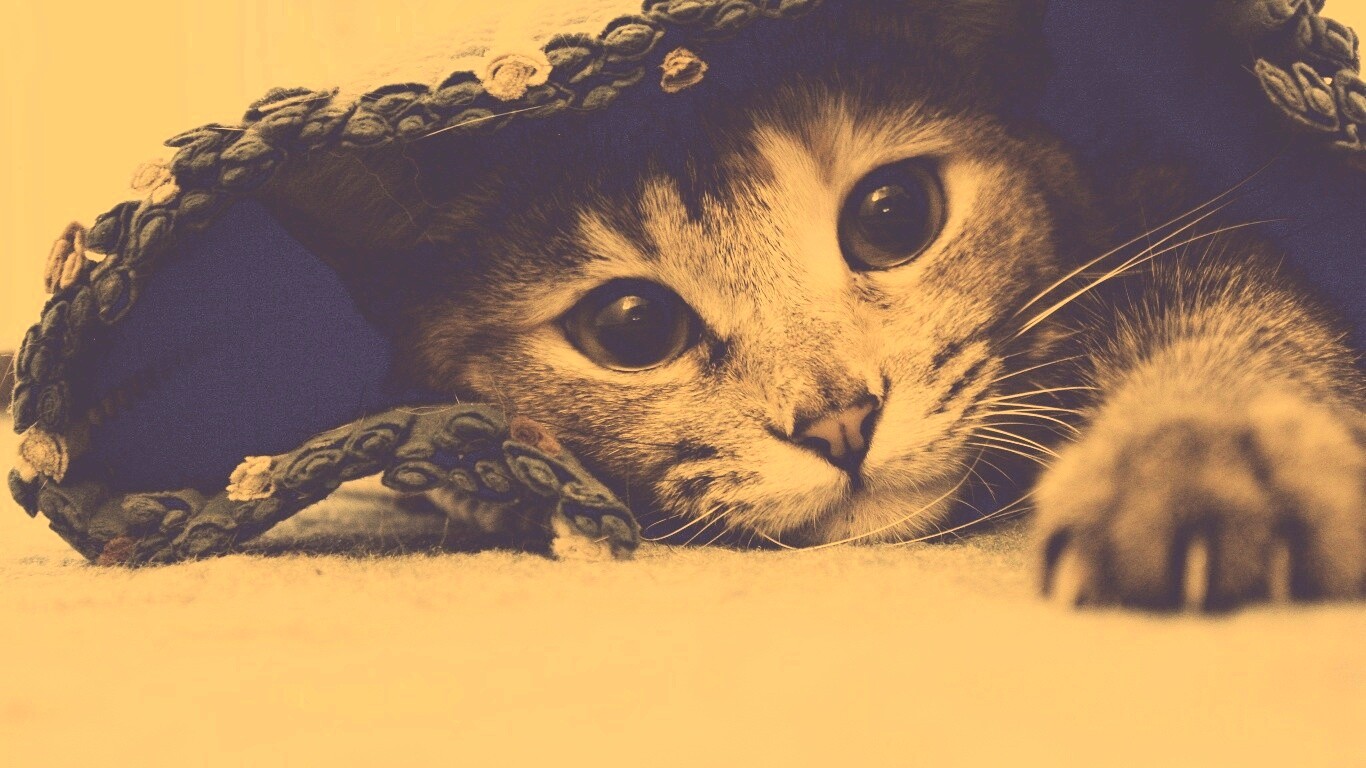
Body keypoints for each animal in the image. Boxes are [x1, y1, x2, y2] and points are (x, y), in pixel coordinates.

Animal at [269, 0, 1365, 610]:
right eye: (631, 327)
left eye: (894, 215)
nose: (841, 422)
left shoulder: (1179, 215)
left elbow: (1227, 326)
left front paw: (1196, 463)